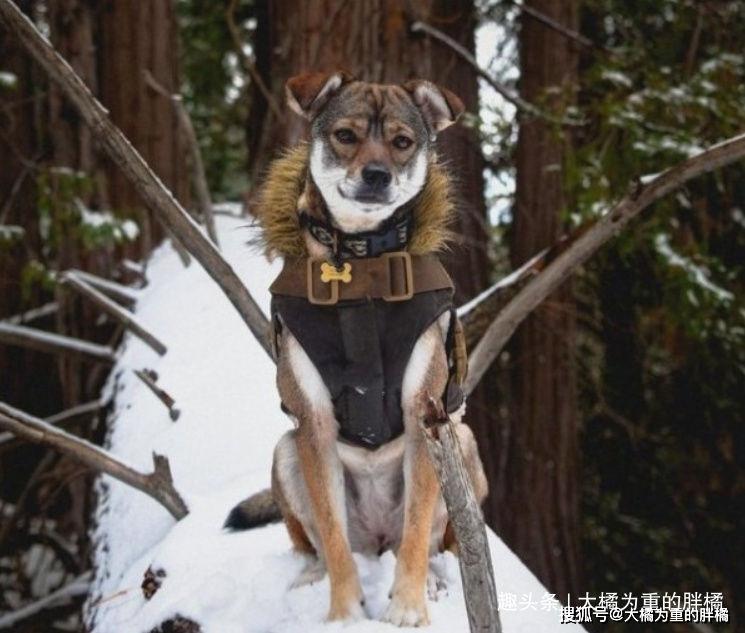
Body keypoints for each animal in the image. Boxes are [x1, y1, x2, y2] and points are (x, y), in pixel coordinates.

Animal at [222, 71, 488, 624]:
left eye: (402, 142)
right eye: (345, 135)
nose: (377, 176)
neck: (360, 268)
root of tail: (377, 536)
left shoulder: (423, 414)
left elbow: (417, 531)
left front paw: (407, 607)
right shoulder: (314, 422)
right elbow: (332, 533)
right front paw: (344, 612)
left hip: (461, 440)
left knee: (428, 539)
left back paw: (432, 579)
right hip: (287, 452)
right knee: (320, 543)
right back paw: (313, 575)